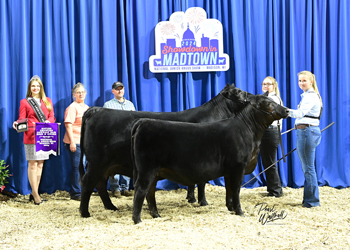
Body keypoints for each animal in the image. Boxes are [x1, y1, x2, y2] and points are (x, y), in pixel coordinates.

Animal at [79, 85, 249, 218]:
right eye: (238, 91)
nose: (249, 96)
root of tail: (96, 110)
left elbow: (194, 182)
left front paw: (191, 198)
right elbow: (201, 182)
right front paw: (203, 201)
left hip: (104, 165)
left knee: (100, 184)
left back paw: (111, 207)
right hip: (97, 162)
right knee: (88, 183)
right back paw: (85, 212)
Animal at [130, 92, 288, 225]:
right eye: (267, 103)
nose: (286, 110)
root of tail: (143, 122)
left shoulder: (229, 170)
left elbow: (229, 189)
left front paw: (230, 208)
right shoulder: (238, 166)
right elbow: (236, 189)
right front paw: (240, 211)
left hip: (154, 172)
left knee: (149, 192)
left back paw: (156, 215)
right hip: (147, 170)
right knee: (140, 191)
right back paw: (137, 220)